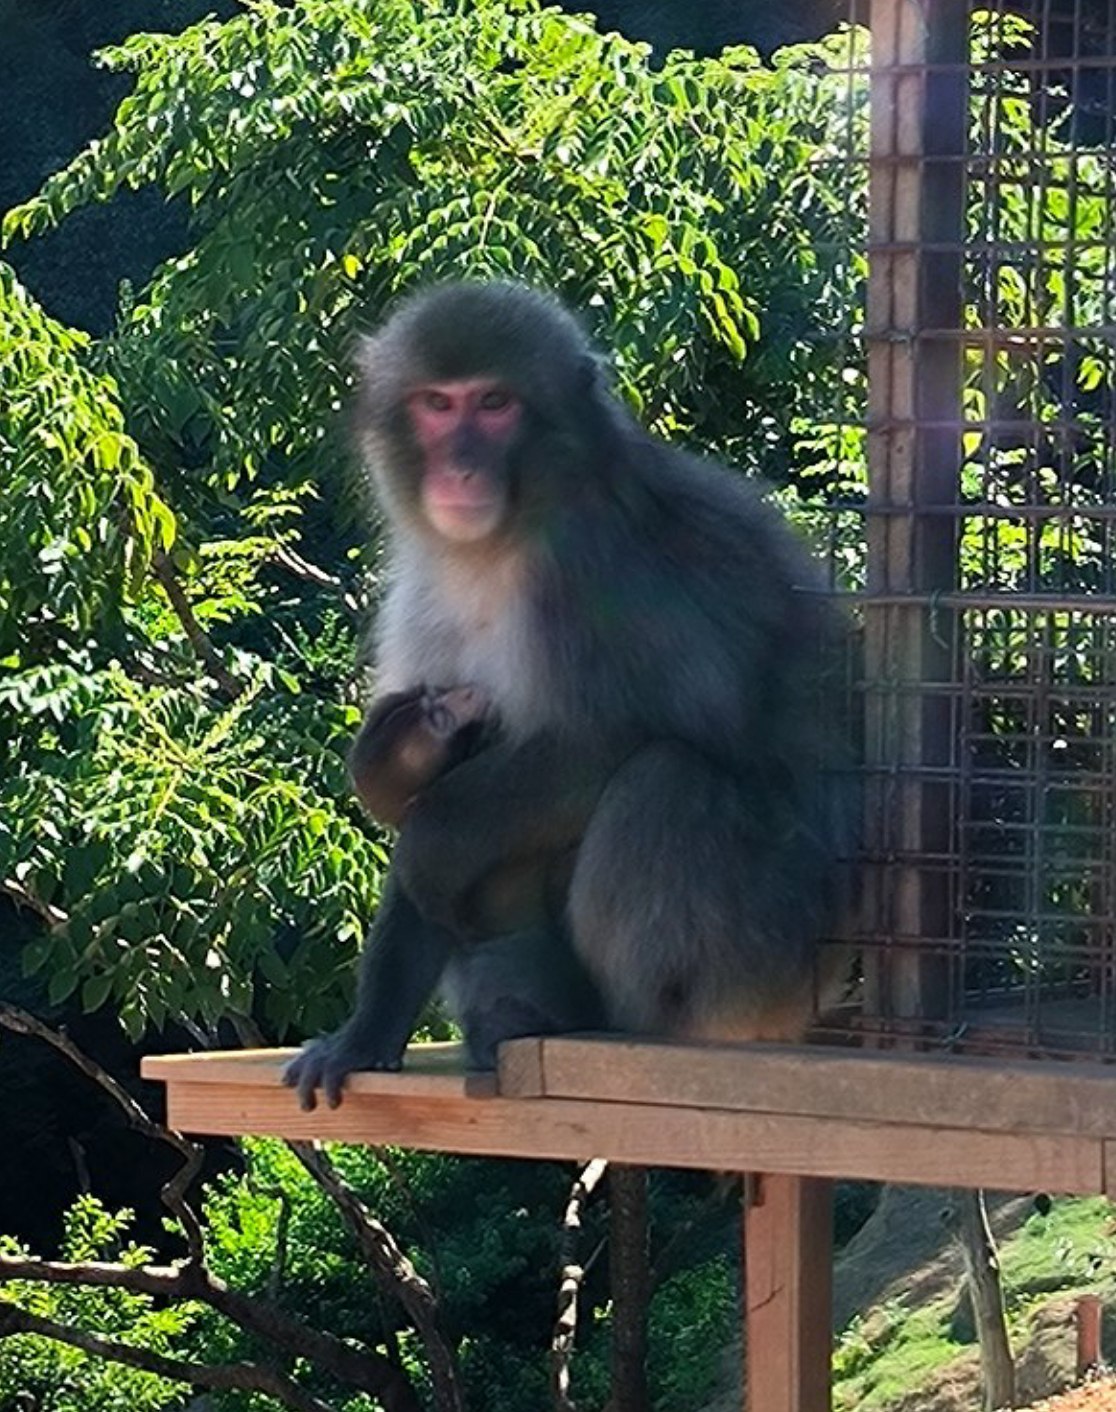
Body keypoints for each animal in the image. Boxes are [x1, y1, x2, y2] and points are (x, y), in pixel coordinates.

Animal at [285, 279, 857, 1108]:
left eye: (495, 404)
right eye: (438, 404)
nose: (460, 469)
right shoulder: (425, 591)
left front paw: (427, 848)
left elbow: (632, 730)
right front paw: (366, 1034)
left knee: (664, 778)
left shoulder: (594, 564)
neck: (499, 545)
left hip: (763, 958)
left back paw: (617, 1021)